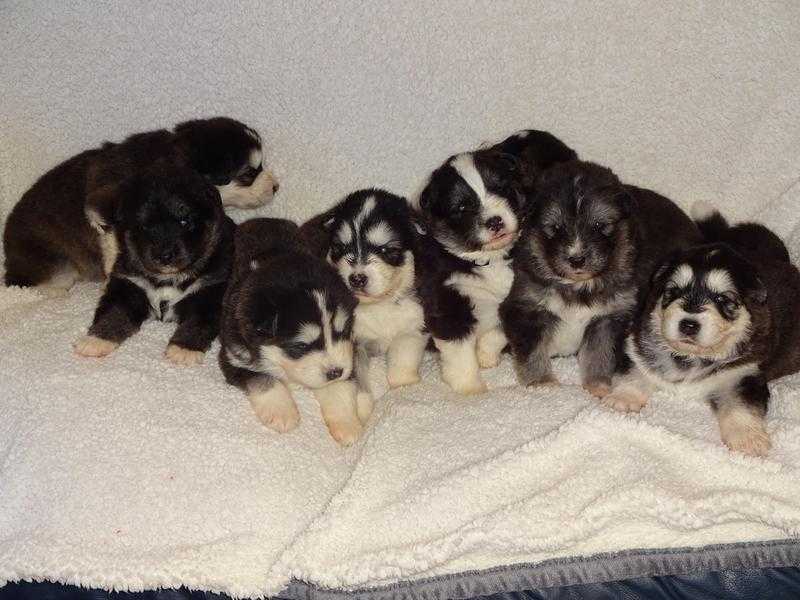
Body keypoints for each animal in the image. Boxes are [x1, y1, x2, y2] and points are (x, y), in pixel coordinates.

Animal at [72, 159, 236, 366]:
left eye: (184, 221)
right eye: (144, 226)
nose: (164, 255)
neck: (168, 278)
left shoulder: (210, 292)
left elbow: (197, 323)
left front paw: (183, 351)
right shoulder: (128, 286)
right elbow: (114, 314)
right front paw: (95, 340)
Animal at [219, 219, 368, 446]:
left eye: (343, 332)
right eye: (300, 346)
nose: (335, 372)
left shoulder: (348, 356)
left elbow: (340, 390)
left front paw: (347, 425)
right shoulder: (233, 356)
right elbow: (264, 379)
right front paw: (282, 413)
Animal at [300, 190, 428, 392]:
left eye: (384, 249)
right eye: (341, 248)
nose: (357, 278)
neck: (378, 306)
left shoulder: (411, 327)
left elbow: (403, 361)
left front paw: (404, 386)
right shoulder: (351, 345)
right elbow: (357, 381)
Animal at [608, 204, 800, 458]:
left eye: (722, 300)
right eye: (673, 292)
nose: (688, 324)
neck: (692, 357)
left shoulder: (743, 373)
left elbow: (741, 406)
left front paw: (748, 438)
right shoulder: (638, 345)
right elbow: (634, 371)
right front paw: (623, 397)